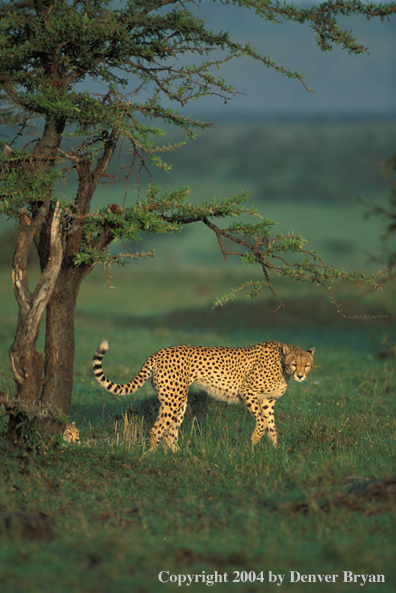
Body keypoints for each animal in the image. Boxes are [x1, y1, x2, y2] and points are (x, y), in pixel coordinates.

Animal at [93, 340, 316, 450]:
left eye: (307, 364)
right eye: (294, 364)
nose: (300, 375)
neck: (282, 364)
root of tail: (158, 352)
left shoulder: (268, 401)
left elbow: (272, 426)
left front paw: (275, 450)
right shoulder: (247, 391)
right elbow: (262, 421)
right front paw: (253, 442)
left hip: (179, 402)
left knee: (170, 433)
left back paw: (177, 457)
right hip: (173, 400)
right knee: (156, 430)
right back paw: (154, 457)